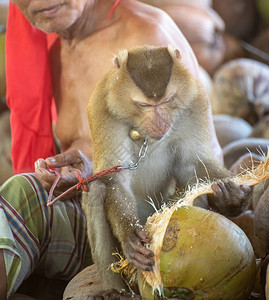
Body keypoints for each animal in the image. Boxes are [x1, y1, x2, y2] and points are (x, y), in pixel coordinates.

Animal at [81, 45, 251, 298]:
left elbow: (195, 165)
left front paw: (233, 197)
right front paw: (130, 235)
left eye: (168, 100)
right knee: (95, 188)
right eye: (144, 105)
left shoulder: (196, 101)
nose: (161, 123)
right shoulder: (101, 107)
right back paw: (114, 290)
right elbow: (115, 179)